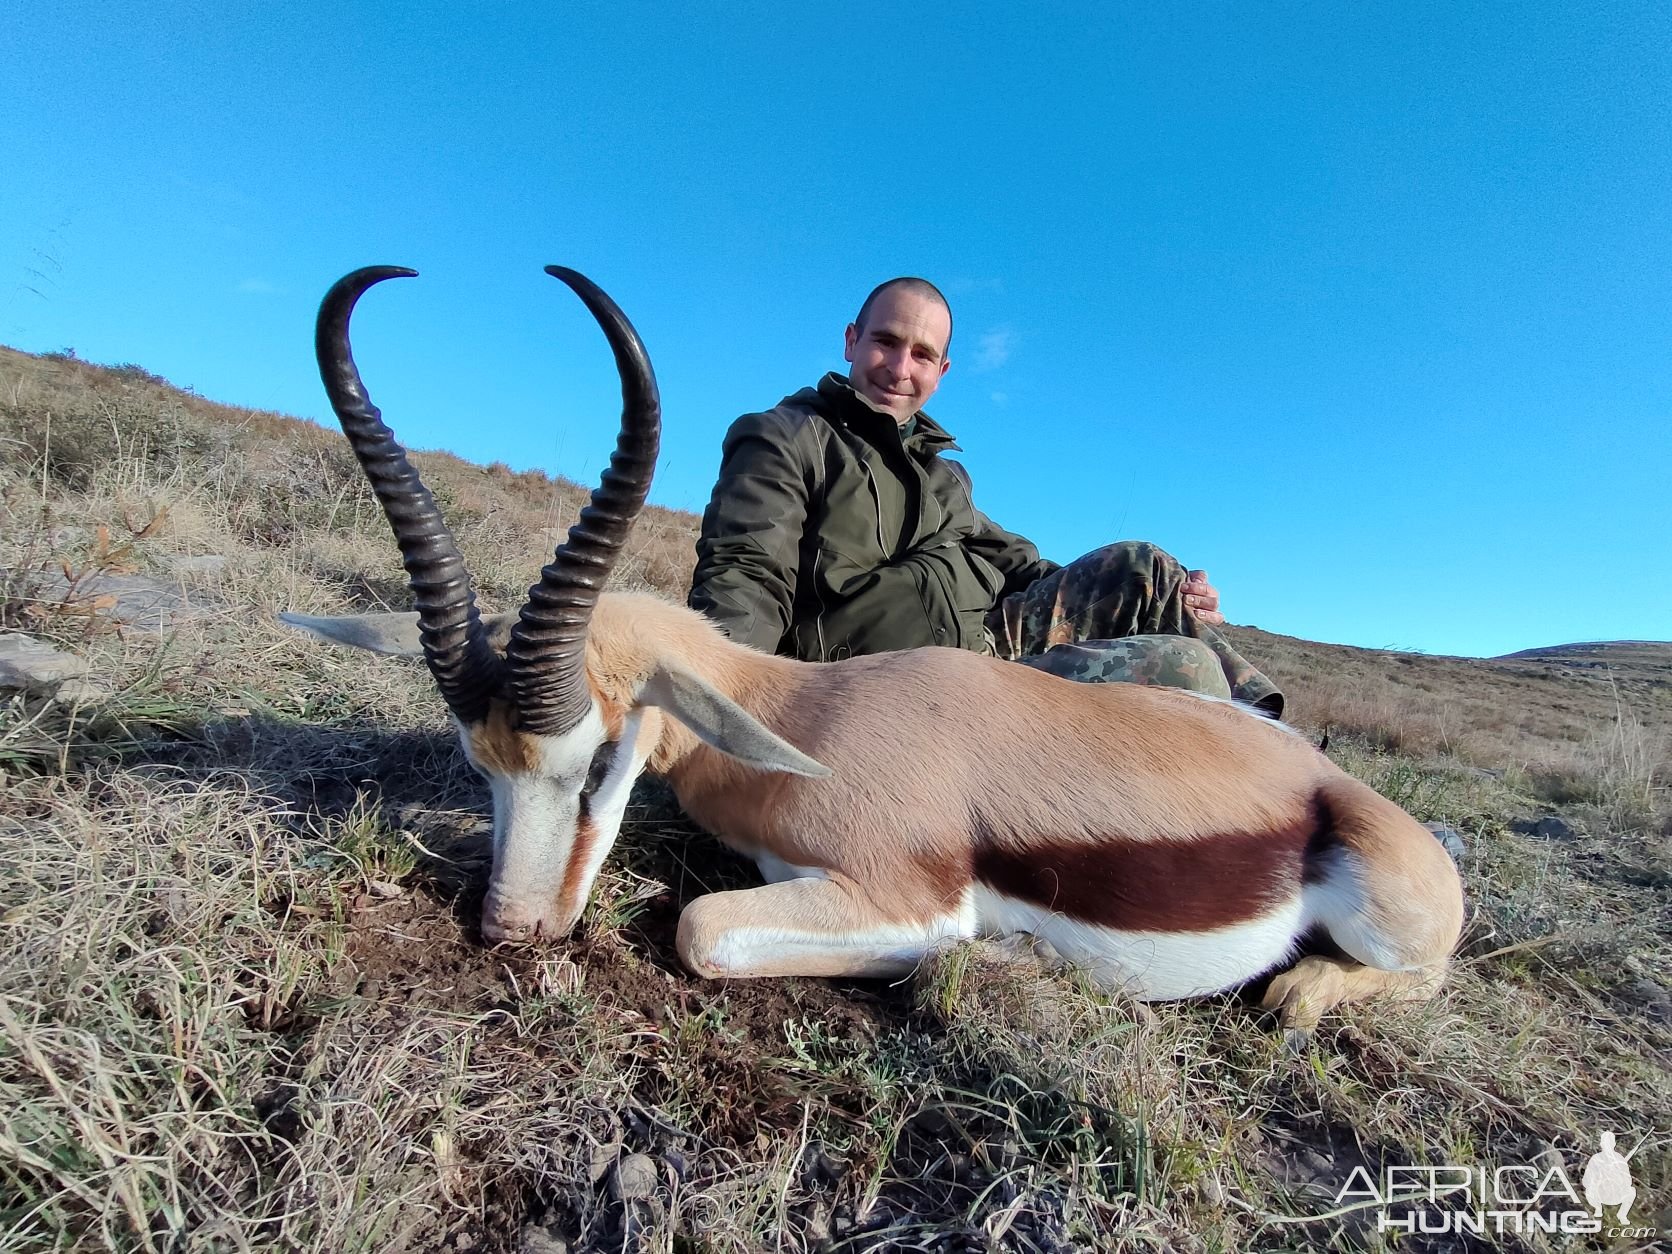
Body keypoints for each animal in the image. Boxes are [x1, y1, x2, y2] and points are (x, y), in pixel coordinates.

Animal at [284, 262, 1464, 1029]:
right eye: (479, 764)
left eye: (599, 759)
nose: (512, 929)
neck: (804, 716)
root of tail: (1329, 785)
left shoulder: (906, 895)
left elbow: (701, 926)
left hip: (1387, 926)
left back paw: (1297, 993)